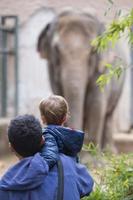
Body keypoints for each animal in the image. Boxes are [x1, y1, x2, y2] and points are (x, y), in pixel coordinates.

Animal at [37, 9, 127, 150]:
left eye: (94, 50)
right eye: (56, 49)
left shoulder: (102, 67)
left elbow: (96, 104)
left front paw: (92, 155)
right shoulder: (52, 69)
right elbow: (62, 95)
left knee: (108, 114)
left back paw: (108, 151)